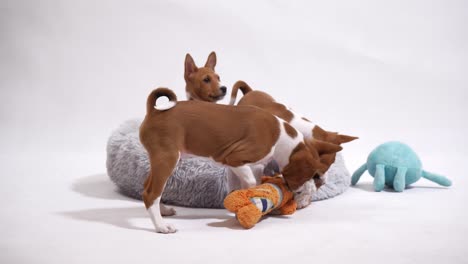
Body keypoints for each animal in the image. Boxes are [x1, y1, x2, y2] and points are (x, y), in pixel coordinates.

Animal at [139, 87, 340, 233]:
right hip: (167, 158)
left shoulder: (245, 165)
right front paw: (255, 202)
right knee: (151, 193)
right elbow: (250, 183)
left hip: (168, 160)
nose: (314, 189)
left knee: (147, 187)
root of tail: (154, 112)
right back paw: (161, 226)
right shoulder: (234, 158)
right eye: (315, 175)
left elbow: (242, 186)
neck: (282, 136)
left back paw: (164, 211)